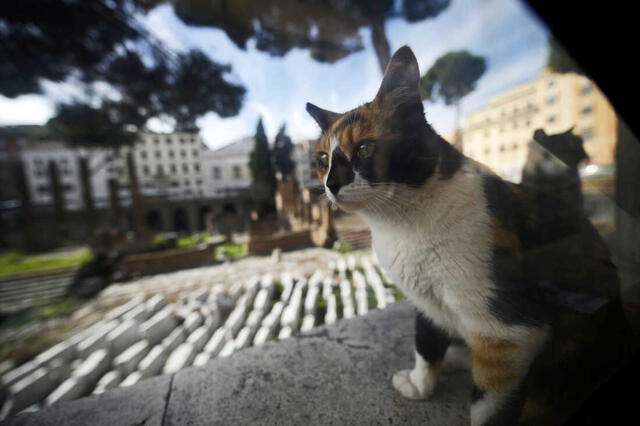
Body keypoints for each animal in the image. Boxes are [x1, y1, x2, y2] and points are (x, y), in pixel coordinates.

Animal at [304, 45, 632, 424]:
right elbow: (425, 343)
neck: (399, 227)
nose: (331, 184)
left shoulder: (509, 334)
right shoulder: (425, 301)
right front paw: (421, 384)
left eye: (364, 149)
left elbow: (489, 406)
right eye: (323, 159)